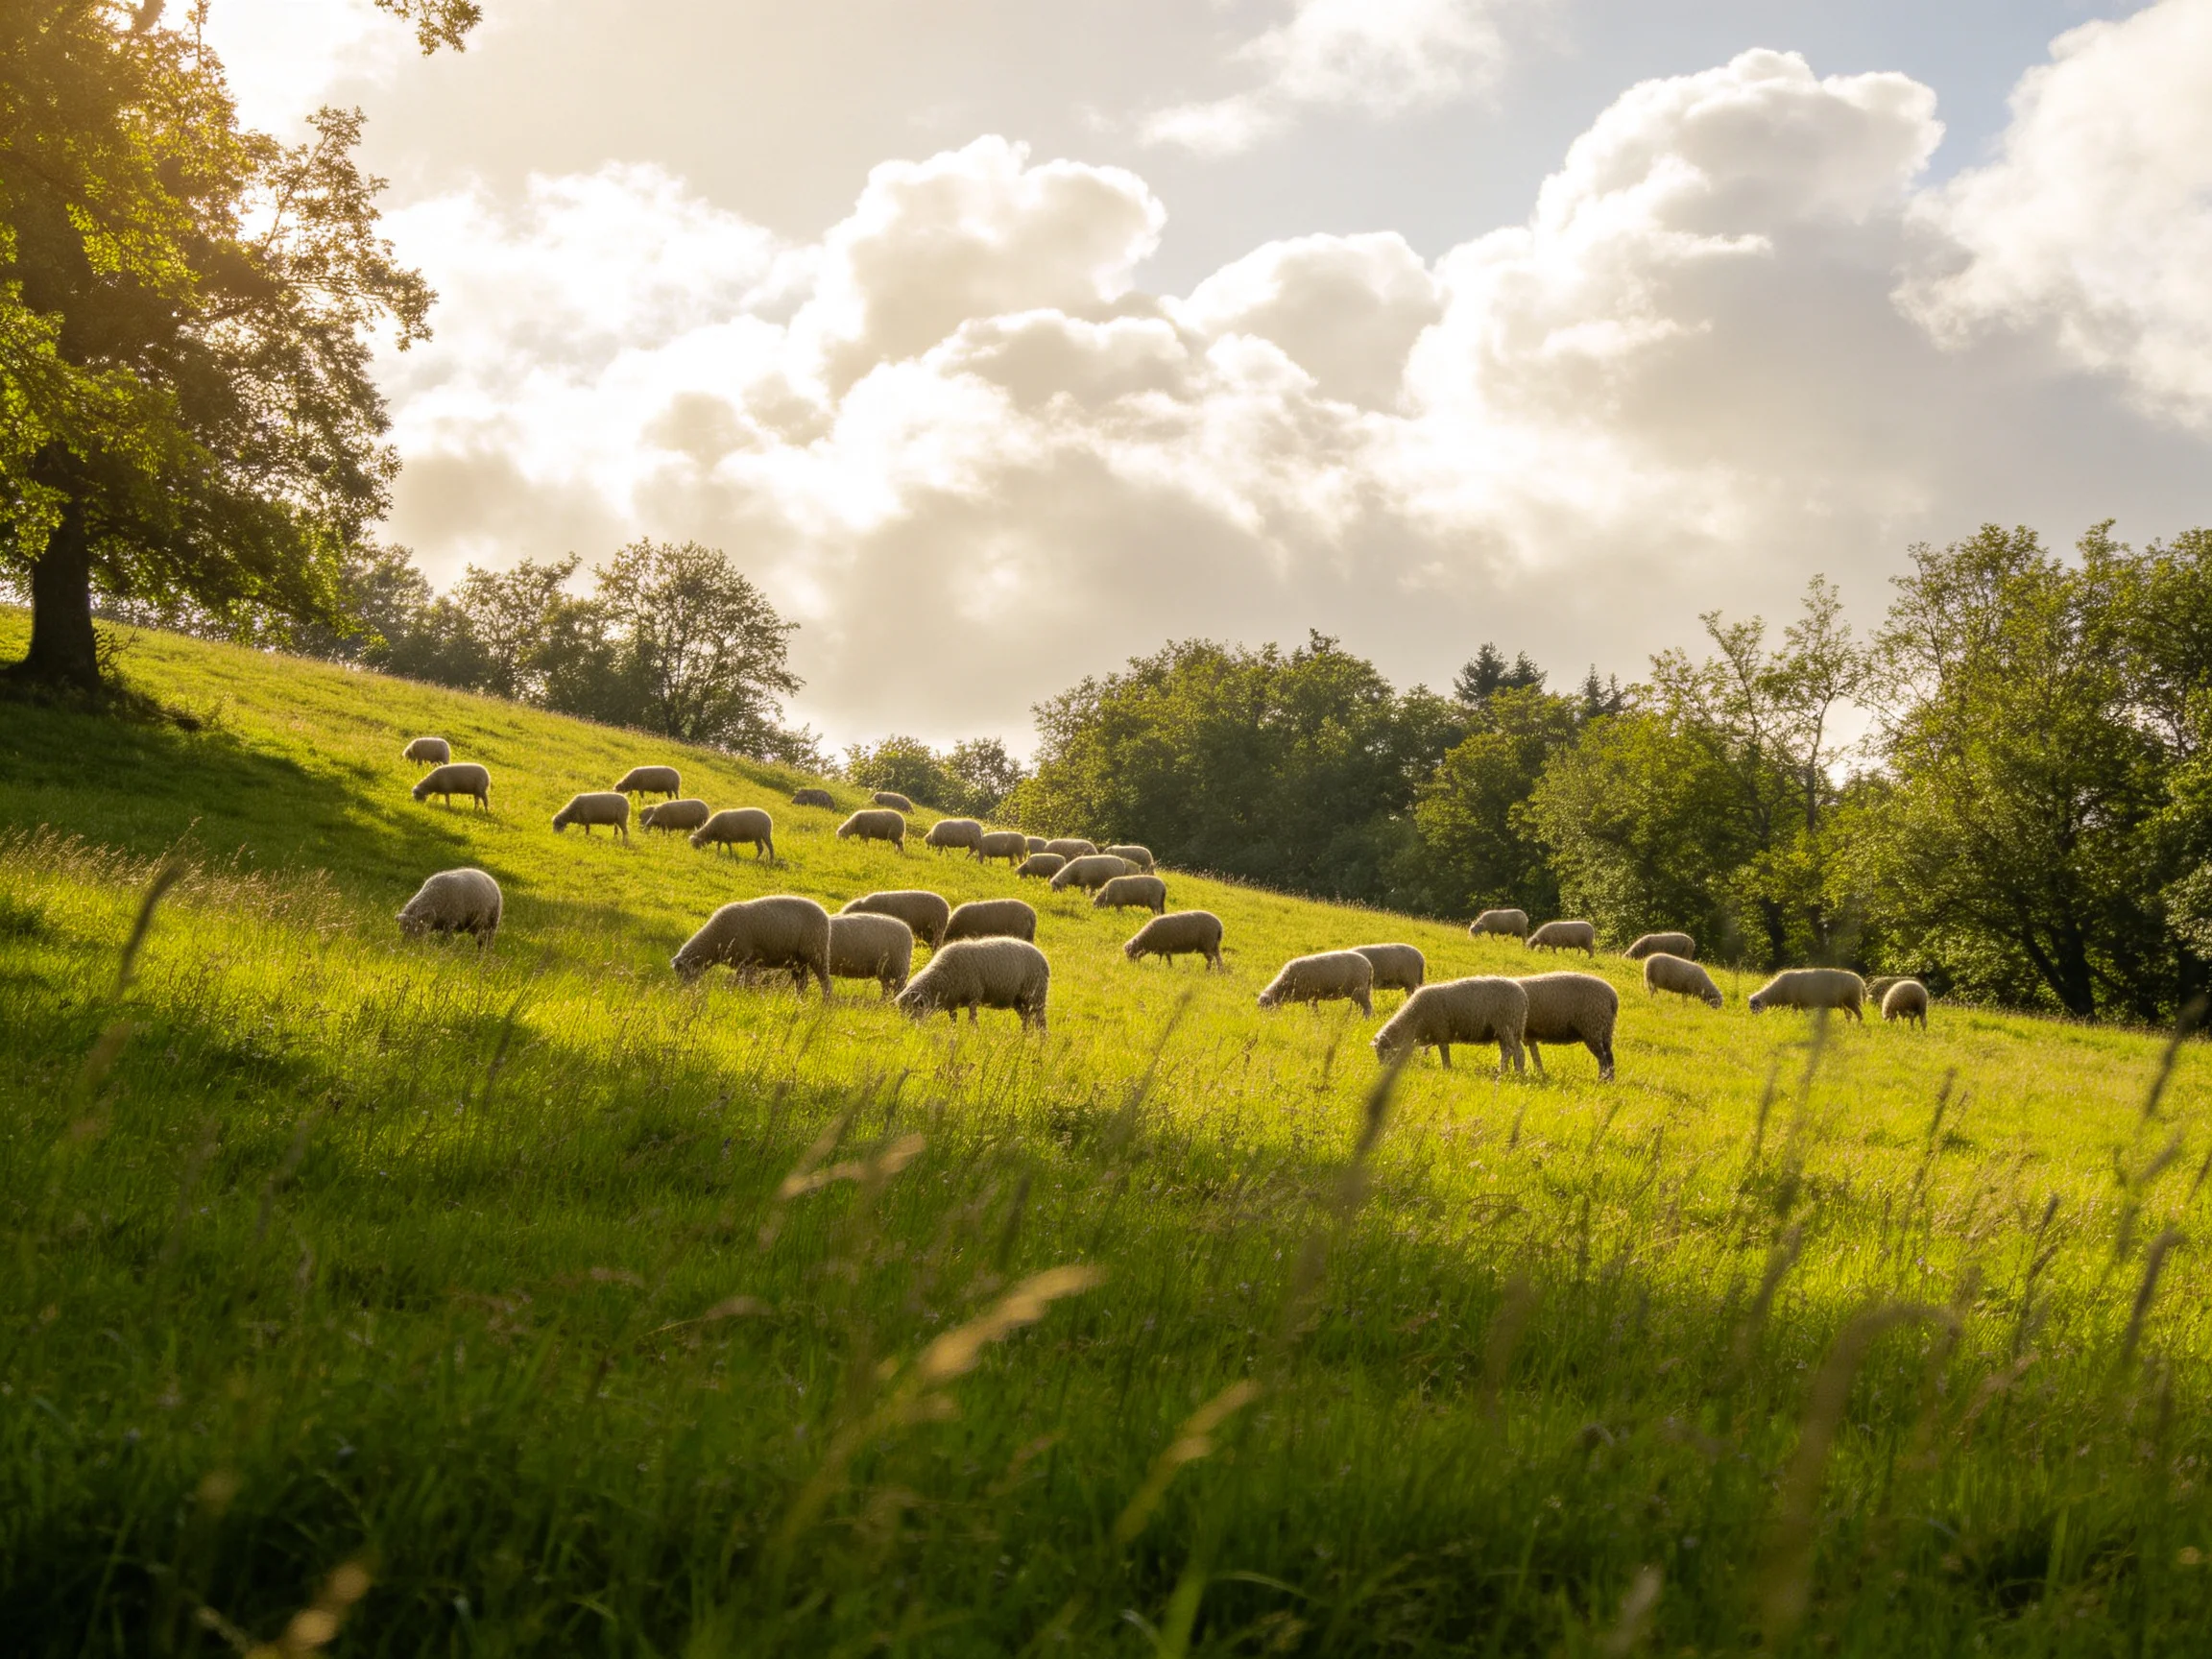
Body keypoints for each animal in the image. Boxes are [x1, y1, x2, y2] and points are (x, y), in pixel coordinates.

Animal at [671, 895, 832, 994]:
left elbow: (742, 982)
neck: (715, 940)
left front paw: (739, 994)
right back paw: (799, 1001)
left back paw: (825, 1005)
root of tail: (824, 914)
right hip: (799, 961)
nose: (682, 990)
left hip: (816, 954)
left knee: (825, 983)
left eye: (682, 971)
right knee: (802, 983)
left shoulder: (745, 959)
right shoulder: (746, 962)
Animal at [896, 937, 1050, 1031]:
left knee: (1041, 1022)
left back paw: (1042, 1042)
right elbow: (953, 1020)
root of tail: (1043, 958)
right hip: (1019, 1000)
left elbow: (972, 1019)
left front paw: (974, 1033)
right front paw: (953, 1032)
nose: (909, 1030)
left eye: (913, 1010)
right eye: (902, 1012)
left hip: (1036, 995)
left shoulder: (973, 996)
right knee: (1026, 1019)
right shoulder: (952, 1002)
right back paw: (1025, 1037)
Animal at [1372, 977, 1528, 1075]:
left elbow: (1444, 1053)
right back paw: (1512, 1071)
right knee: (1512, 1052)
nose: (1383, 1070)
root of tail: (1523, 995)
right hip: (1505, 1031)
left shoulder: (1442, 1032)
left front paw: (1447, 1069)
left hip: (1508, 1026)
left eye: (1383, 1053)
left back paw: (1509, 1072)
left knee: (1513, 1052)